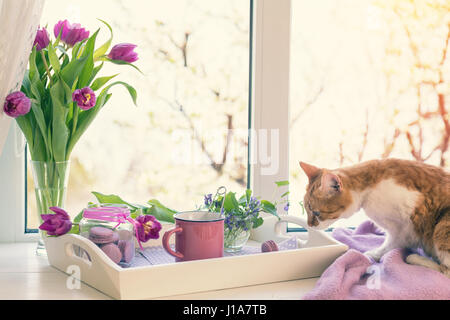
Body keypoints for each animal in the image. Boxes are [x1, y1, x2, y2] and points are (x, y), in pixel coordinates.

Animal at [300, 159, 448, 276]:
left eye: (316, 213)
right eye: (306, 210)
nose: (309, 225)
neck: (369, 188)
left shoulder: (406, 225)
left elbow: (390, 244)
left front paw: (373, 254)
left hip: (442, 226)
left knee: (446, 270)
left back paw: (415, 258)